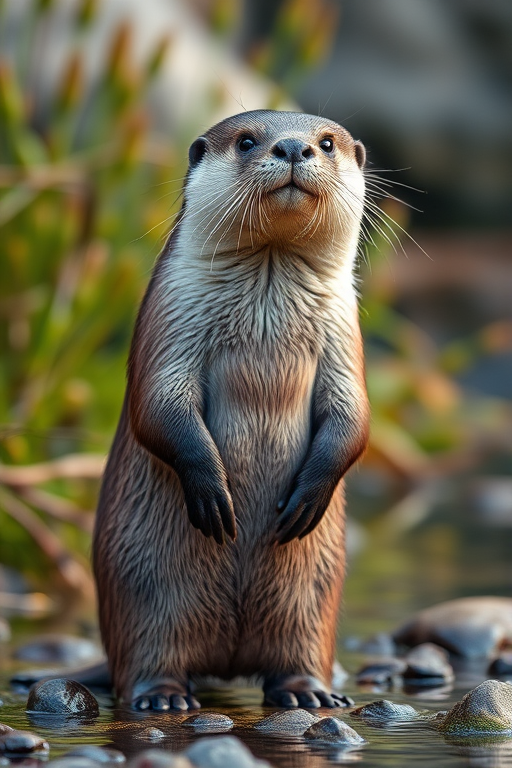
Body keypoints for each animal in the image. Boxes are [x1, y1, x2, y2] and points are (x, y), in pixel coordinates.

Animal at [92, 110, 370, 711]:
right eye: (246, 142)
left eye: (327, 143)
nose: (292, 148)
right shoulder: (171, 315)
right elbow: (158, 405)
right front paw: (212, 489)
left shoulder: (345, 335)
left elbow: (354, 421)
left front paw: (308, 496)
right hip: (140, 591)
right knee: (147, 657)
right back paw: (163, 697)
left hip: (313, 600)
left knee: (297, 650)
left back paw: (309, 694)